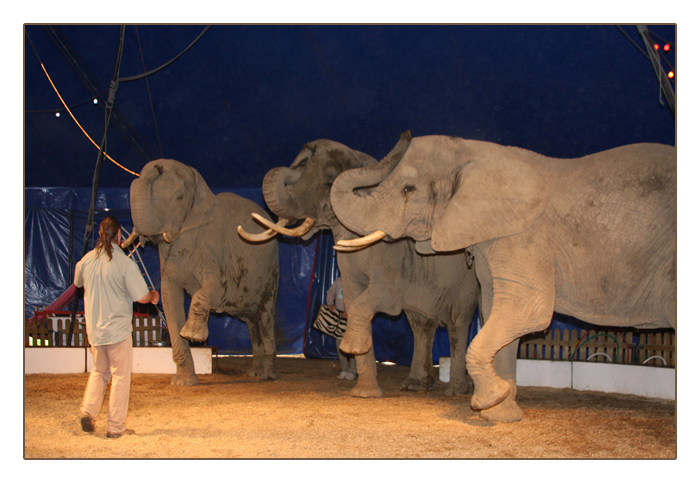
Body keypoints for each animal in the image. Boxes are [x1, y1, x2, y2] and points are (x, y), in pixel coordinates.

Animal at [126, 161, 278, 388]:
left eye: (179, 197)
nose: (157, 166)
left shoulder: (213, 247)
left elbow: (214, 289)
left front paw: (193, 335)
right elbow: (169, 300)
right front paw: (183, 383)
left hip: (271, 270)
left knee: (266, 315)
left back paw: (268, 376)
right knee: (252, 322)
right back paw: (254, 373)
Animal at [237, 139, 482, 398]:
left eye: (329, 183)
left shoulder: (392, 252)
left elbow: (384, 298)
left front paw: (355, 361)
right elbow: (354, 299)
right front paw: (364, 393)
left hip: (467, 277)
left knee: (458, 321)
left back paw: (457, 390)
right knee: (420, 324)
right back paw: (416, 385)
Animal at [334, 130, 680, 422]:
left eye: (409, 189)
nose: (405, 133)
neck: (477, 152)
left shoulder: (524, 237)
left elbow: (525, 311)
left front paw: (488, 401)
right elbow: (495, 312)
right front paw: (500, 415)